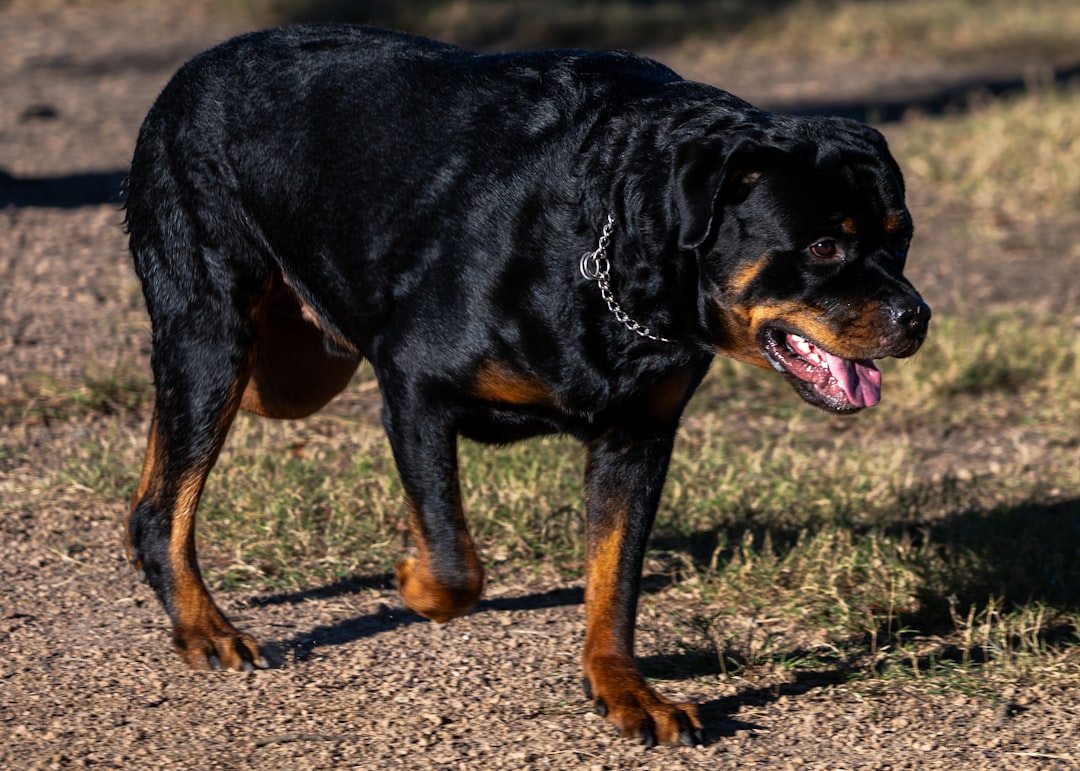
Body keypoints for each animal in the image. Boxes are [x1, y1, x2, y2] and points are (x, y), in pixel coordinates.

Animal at [120, 24, 928, 742]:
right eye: (821, 247)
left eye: (901, 238)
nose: (917, 315)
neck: (610, 239)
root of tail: (191, 70)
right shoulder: (414, 386)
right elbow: (454, 564)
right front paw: (411, 579)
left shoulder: (637, 440)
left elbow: (615, 581)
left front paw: (624, 688)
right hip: (214, 330)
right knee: (165, 501)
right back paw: (203, 625)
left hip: (296, 364)